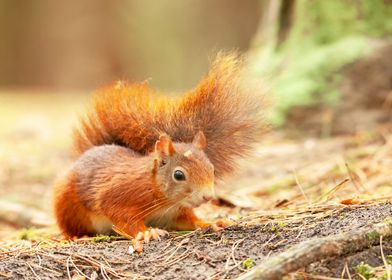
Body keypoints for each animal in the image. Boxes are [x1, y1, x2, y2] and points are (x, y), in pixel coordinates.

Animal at [52, 53, 266, 242]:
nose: (207, 196)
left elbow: (189, 221)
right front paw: (146, 232)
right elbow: (122, 217)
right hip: (67, 204)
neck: (162, 196)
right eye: (178, 175)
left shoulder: (175, 213)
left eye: (212, 169)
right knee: (69, 225)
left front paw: (210, 223)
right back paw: (75, 237)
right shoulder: (117, 195)